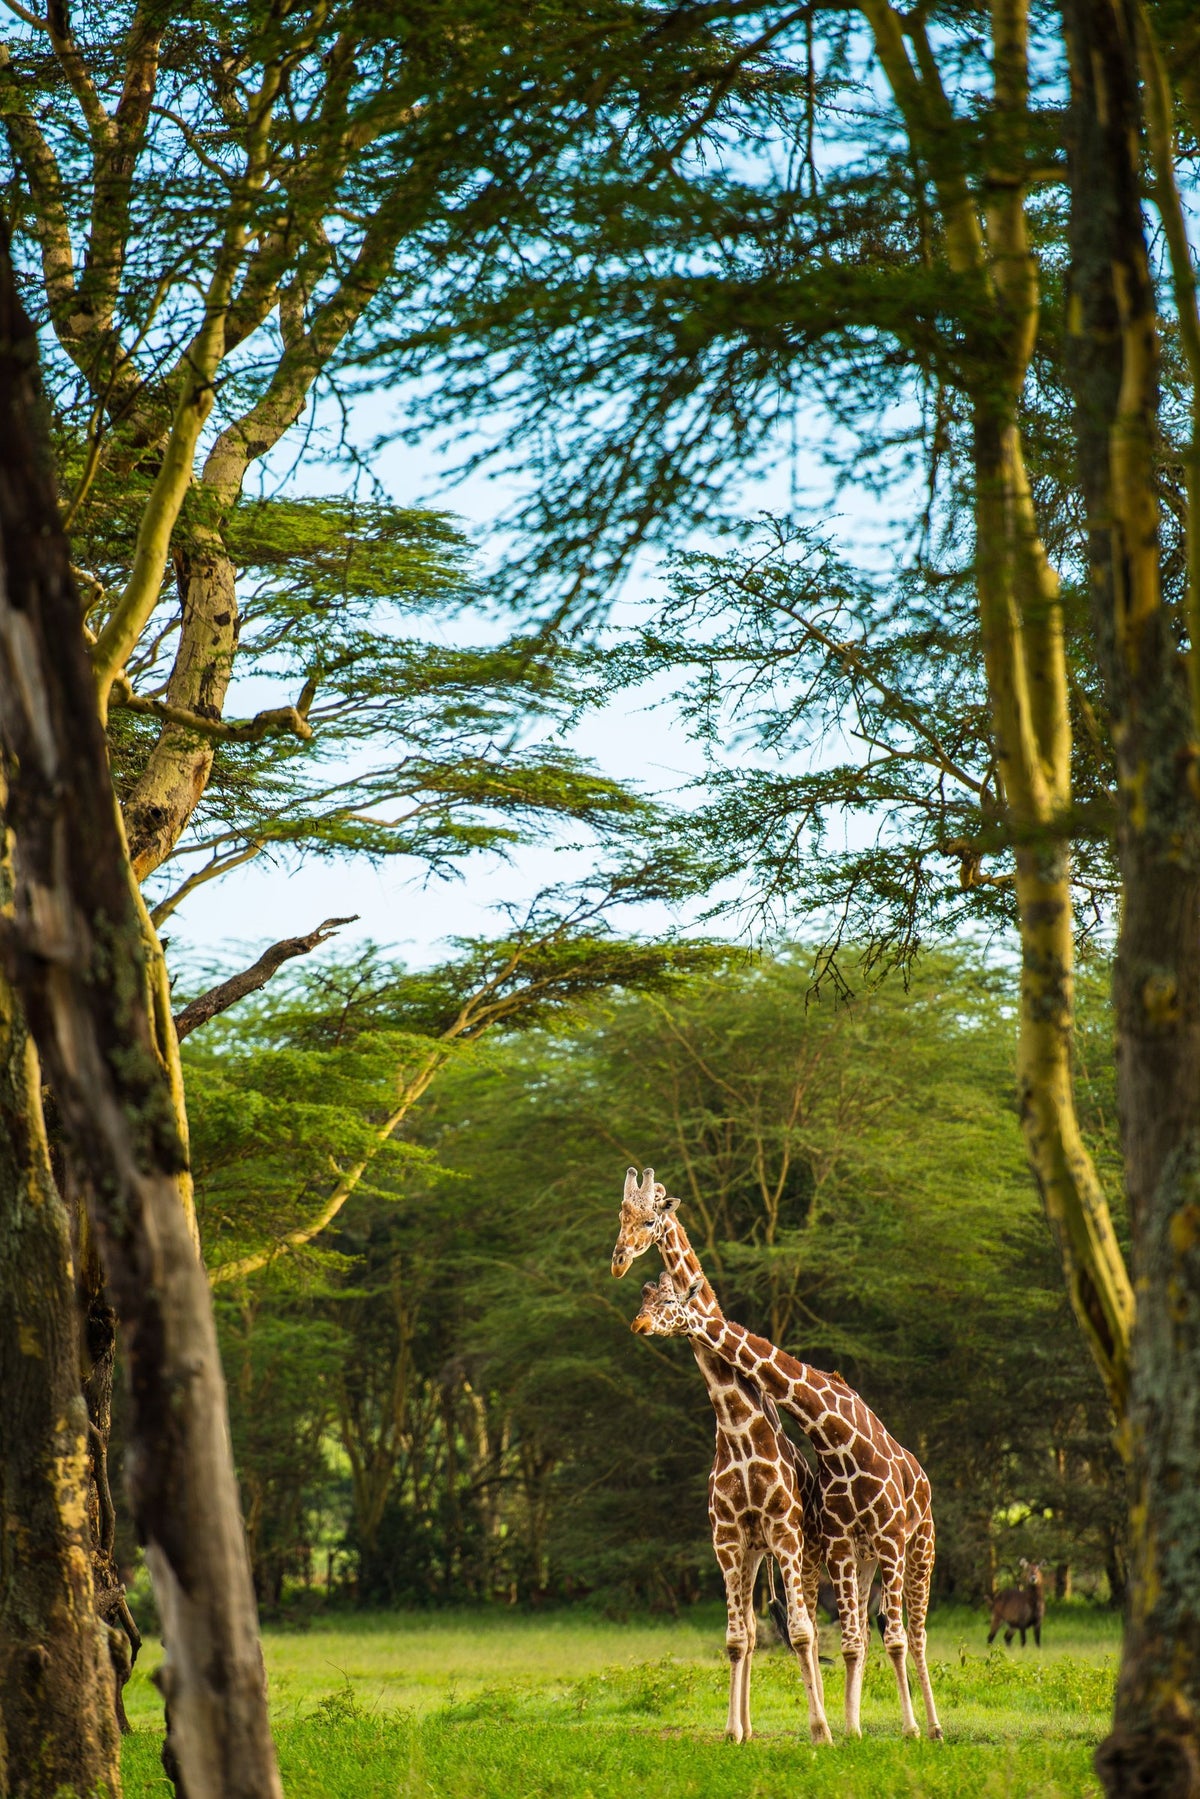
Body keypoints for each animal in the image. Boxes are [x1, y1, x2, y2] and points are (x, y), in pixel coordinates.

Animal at [631, 1268, 832, 1745]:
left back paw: (829, 1722)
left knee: (812, 1627)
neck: (738, 1431)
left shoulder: (784, 1532)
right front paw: (732, 1732)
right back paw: (748, 1726)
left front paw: (820, 1731)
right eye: (642, 1299)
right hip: (754, 1554)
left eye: (670, 1299)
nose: (639, 1324)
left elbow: (800, 1632)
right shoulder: (727, 1540)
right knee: (755, 1632)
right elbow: (736, 1637)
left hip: (805, 1551)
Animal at [665, 1273, 943, 1742]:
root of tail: (921, 1476)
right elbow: (848, 1640)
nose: (640, 1322)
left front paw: (906, 1730)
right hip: (858, 1559)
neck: (833, 1436)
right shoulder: (837, 1545)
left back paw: (933, 1728)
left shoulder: (887, 1540)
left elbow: (895, 1639)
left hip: (918, 1547)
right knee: (855, 1632)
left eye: (667, 1301)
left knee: (916, 1634)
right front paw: (849, 1729)